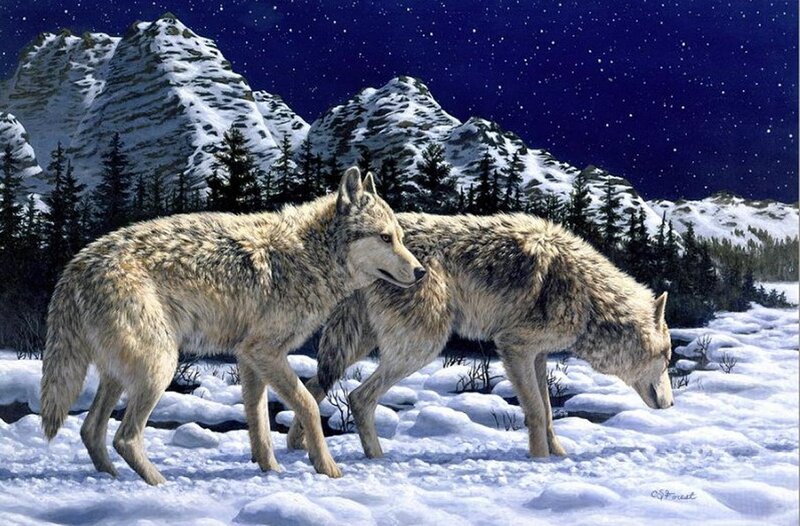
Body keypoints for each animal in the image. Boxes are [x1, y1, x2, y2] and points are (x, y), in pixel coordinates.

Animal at [40, 167, 425, 485]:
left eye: (400, 237)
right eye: (385, 238)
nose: (421, 272)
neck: (309, 255)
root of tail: (74, 267)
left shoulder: (249, 358)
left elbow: (259, 421)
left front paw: (269, 469)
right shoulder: (265, 352)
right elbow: (308, 405)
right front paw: (327, 468)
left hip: (121, 376)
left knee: (90, 430)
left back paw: (111, 478)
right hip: (159, 369)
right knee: (125, 437)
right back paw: (160, 485)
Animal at [287, 212, 674, 459]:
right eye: (668, 358)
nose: (671, 405)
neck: (589, 298)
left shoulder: (536, 355)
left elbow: (548, 412)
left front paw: (558, 456)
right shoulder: (513, 347)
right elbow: (537, 412)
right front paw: (539, 461)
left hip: (358, 346)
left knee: (315, 386)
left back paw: (297, 447)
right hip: (421, 347)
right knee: (358, 397)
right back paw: (377, 458)